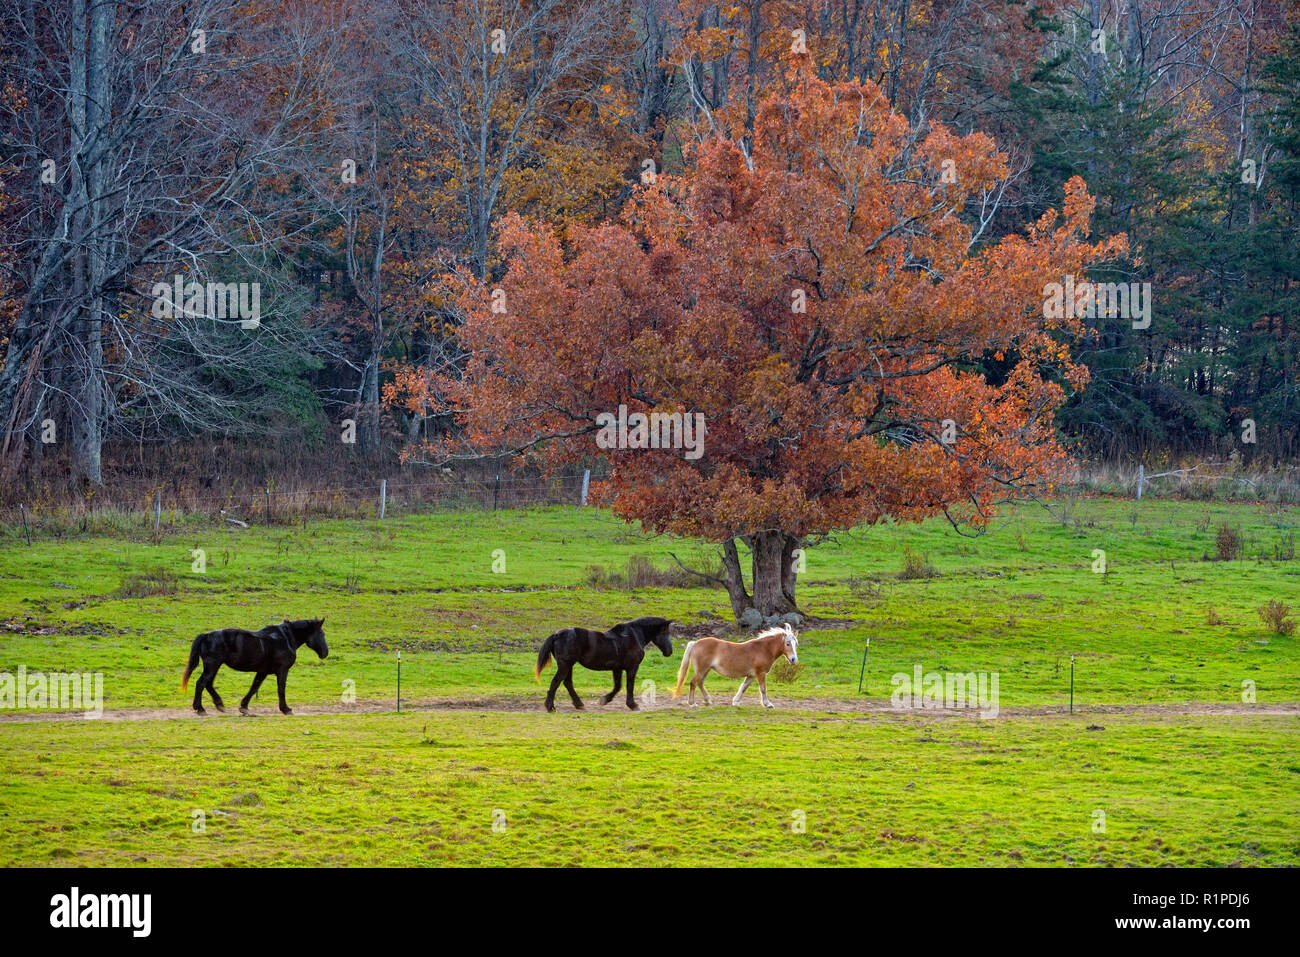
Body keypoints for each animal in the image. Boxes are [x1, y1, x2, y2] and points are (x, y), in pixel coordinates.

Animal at [180, 616, 327, 712]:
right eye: (321, 634)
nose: (325, 652)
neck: (285, 639)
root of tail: (206, 635)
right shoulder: (282, 670)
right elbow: (281, 689)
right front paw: (285, 709)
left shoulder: (263, 671)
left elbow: (254, 686)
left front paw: (244, 706)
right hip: (212, 665)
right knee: (201, 683)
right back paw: (200, 708)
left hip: (214, 666)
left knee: (208, 684)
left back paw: (219, 704)